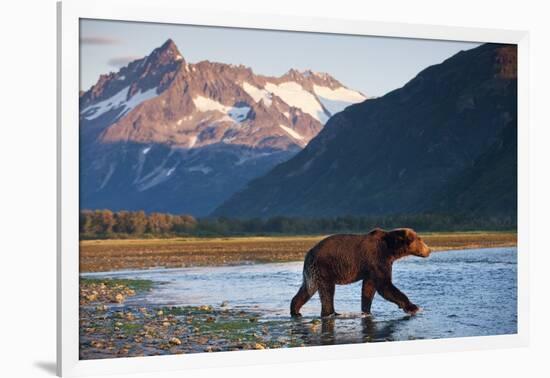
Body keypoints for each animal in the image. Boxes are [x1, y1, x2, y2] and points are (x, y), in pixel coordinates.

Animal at [292, 229, 434, 318]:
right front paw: (413, 307)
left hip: (312, 273)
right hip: (325, 267)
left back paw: (296, 311)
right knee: (327, 291)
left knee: (307, 290)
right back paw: (331, 313)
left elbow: (368, 289)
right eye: (420, 239)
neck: (390, 249)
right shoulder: (377, 259)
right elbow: (385, 286)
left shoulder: (371, 268)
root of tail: (309, 253)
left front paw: (367, 311)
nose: (429, 250)